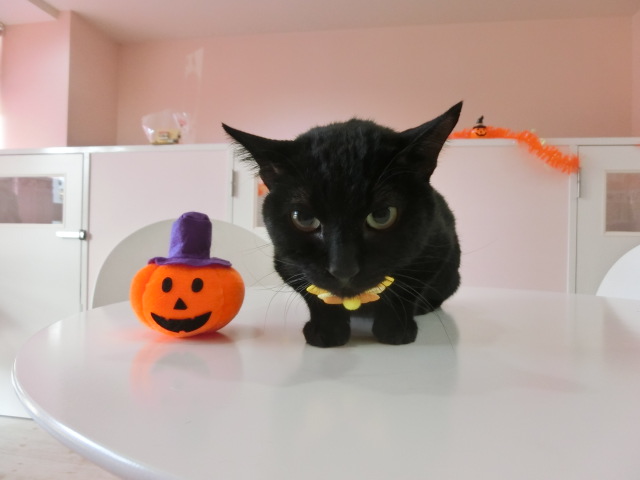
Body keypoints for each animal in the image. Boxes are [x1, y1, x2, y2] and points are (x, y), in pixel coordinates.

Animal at [223, 102, 462, 347]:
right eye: (304, 218)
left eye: (382, 215)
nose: (343, 269)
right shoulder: (287, 262)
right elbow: (314, 296)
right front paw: (326, 332)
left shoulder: (437, 247)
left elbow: (408, 290)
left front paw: (395, 331)